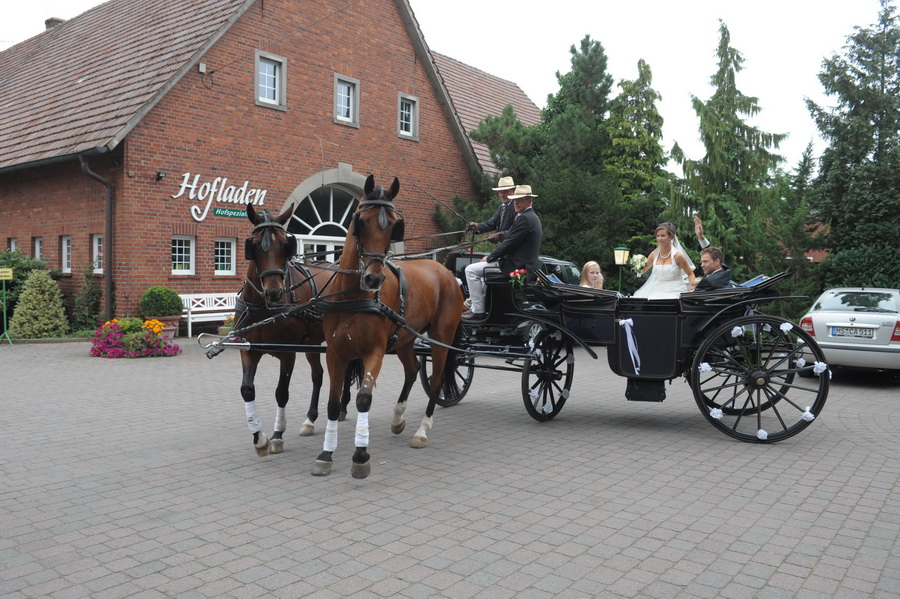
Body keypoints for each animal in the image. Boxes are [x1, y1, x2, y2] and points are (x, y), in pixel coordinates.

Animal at [237, 204, 356, 458]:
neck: (265, 309)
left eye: (285, 244)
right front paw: (259, 439)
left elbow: (281, 392)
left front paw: (277, 435)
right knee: (318, 376)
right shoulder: (248, 349)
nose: (274, 292)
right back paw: (311, 420)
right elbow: (247, 390)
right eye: (254, 245)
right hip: (312, 343)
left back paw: (341, 407)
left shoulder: (287, 353)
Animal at [314, 173, 464, 478]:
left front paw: (361, 455)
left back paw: (422, 431)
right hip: (405, 338)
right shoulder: (336, 353)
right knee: (413, 369)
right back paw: (398, 417)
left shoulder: (375, 352)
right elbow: (333, 403)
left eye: (395, 225)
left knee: (436, 379)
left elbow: (363, 398)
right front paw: (326, 454)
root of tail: (445, 271)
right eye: (362, 221)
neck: (352, 297)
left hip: (441, 335)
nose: (374, 278)